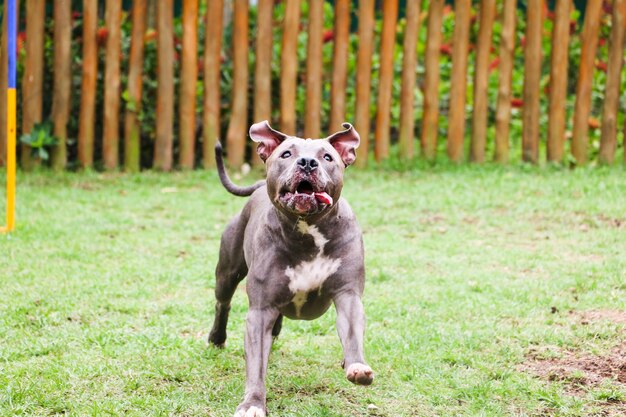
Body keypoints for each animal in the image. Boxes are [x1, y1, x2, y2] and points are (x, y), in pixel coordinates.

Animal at [208, 119, 370, 412]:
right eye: (286, 154)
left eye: (327, 157)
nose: (307, 162)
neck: (308, 233)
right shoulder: (260, 310)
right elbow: (256, 363)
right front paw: (252, 403)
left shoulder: (347, 295)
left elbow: (352, 332)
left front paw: (356, 365)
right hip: (227, 273)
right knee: (222, 303)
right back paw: (217, 338)